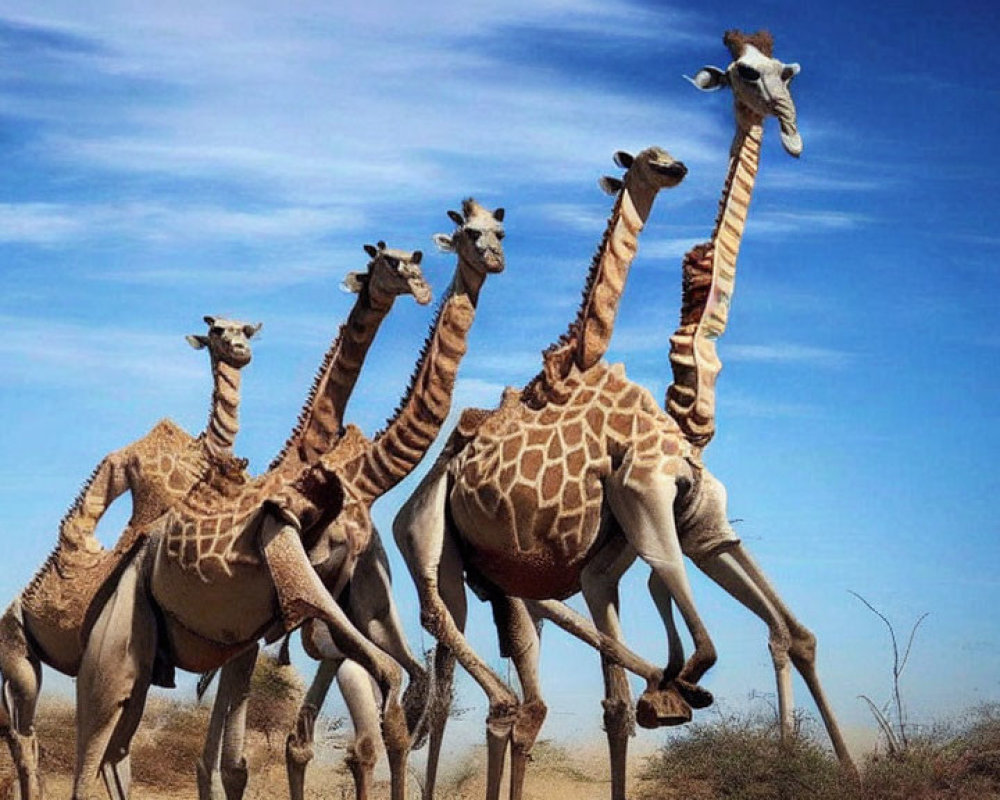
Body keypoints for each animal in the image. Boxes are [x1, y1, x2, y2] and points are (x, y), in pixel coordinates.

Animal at [0, 318, 262, 800]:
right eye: (216, 330)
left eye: (245, 331)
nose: (239, 348)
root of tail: (9, 611)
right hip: (18, 659)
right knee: (24, 735)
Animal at [390, 148, 704, 800]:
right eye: (467, 230)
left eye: (501, 229)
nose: (677, 166)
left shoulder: (564, 568)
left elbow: (610, 703)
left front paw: (667, 693)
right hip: (433, 551)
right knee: (448, 649)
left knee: (473, 682)